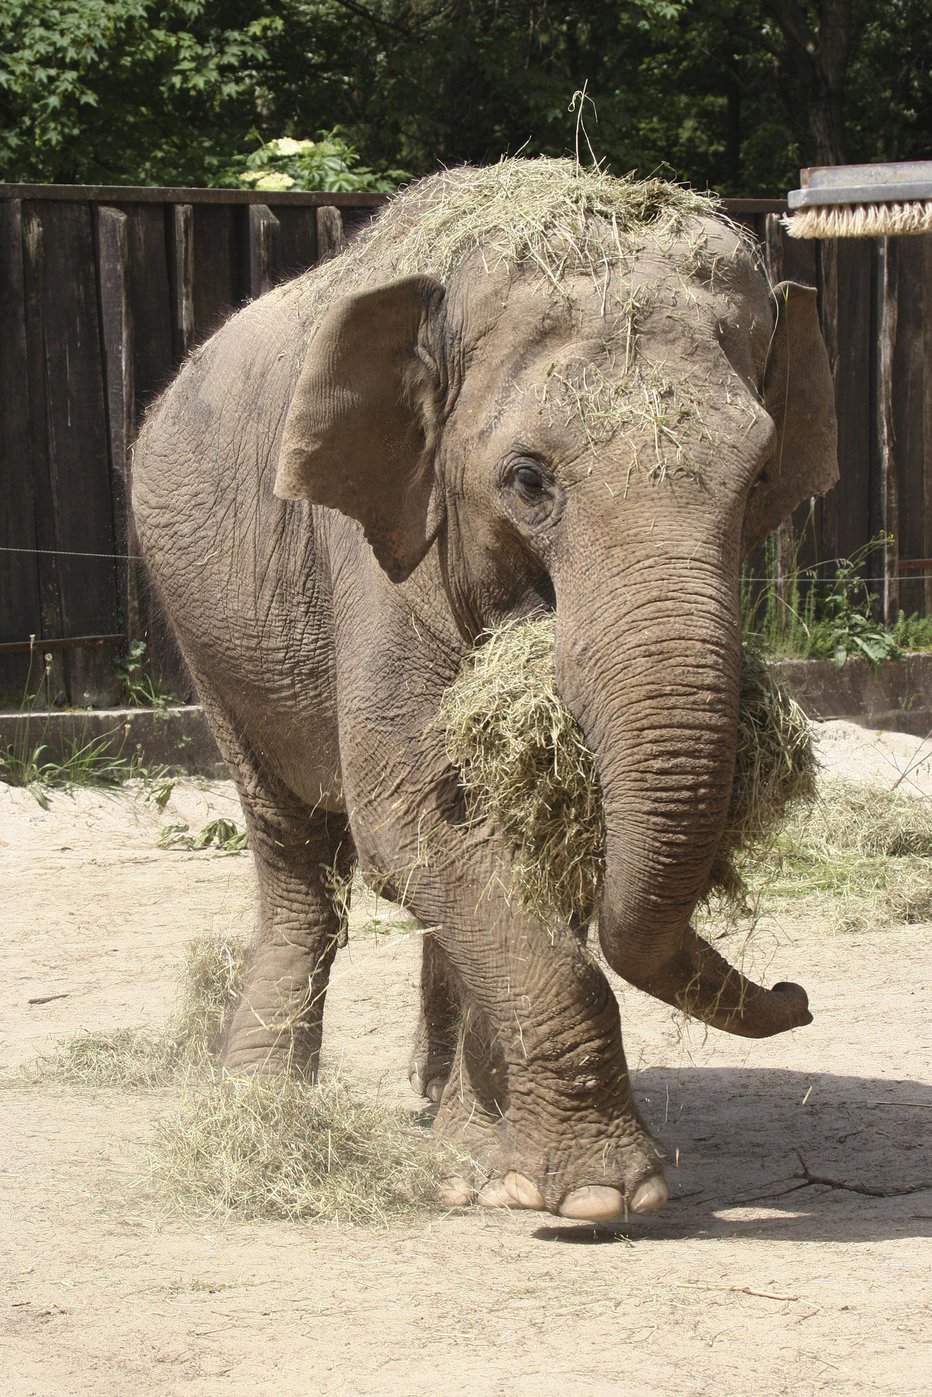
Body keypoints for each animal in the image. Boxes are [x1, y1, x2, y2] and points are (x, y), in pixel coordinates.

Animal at [131, 158, 838, 1218]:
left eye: (758, 480)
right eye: (528, 480)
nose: (797, 995)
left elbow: (523, 844)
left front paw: (486, 1168)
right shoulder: (381, 549)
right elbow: (407, 819)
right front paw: (596, 1200)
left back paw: (438, 1113)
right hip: (203, 627)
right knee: (296, 850)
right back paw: (258, 1100)